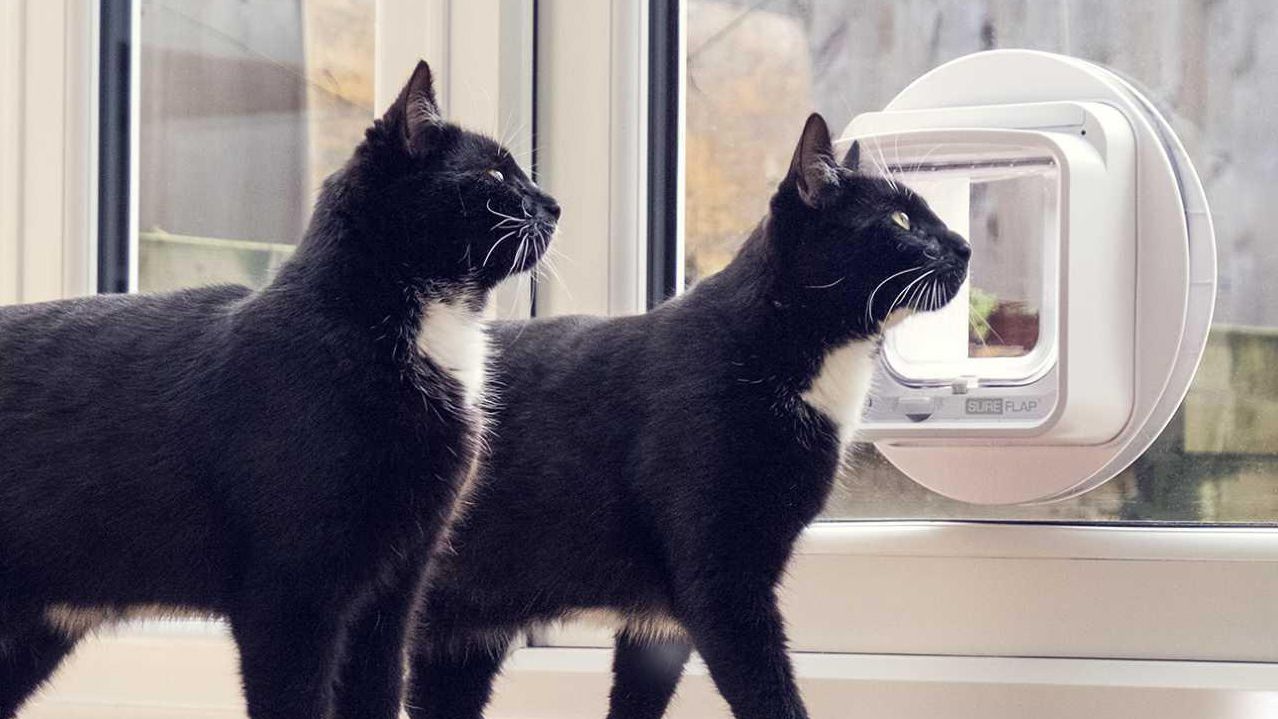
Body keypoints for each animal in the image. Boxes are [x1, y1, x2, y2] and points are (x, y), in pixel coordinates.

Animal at [1, 63, 559, 719]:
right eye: (495, 174)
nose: (553, 204)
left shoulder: (394, 589)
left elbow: (377, 689)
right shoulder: (290, 594)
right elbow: (297, 695)